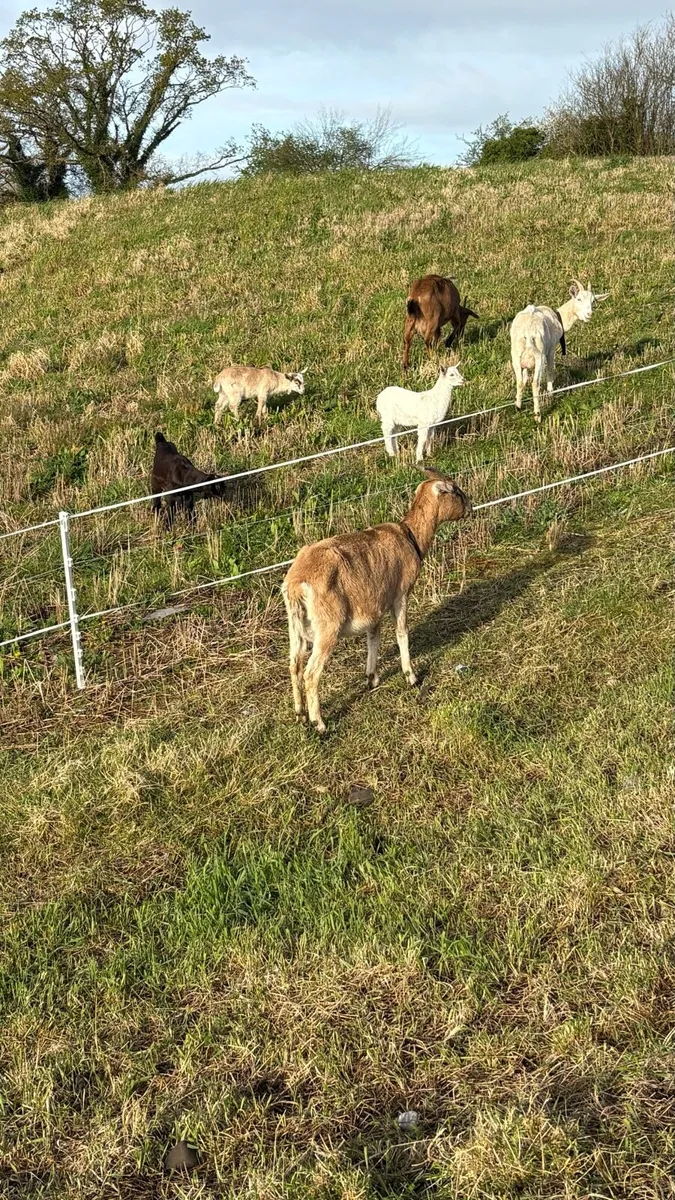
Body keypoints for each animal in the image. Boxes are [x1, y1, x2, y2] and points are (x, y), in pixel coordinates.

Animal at [281, 468, 472, 733]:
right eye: (455, 490)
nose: (470, 506)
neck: (410, 536)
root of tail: (297, 584)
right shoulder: (399, 594)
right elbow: (401, 632)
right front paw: (411, 676)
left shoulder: (373, 606)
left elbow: (374, 638)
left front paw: (372, 678)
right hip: (327, 627)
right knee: (311, 673)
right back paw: (319, 723)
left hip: (295, 628)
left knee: (294, 665)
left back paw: (300, 713)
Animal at [510, 279, 609, 422]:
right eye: (578, 299)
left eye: (593, 301)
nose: (588, 315)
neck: (559, 317)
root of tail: (528, 332)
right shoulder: (550, 349)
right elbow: (550, 369)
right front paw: (550, 392)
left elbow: (523, 378)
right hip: (539, 355)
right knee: (535, 383)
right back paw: (537, 415)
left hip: (516, 354)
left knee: (518, 381)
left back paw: (518, 406)